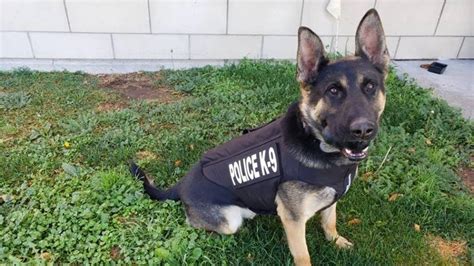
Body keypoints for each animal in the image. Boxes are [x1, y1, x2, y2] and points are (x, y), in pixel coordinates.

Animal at [130, 8, 388, 266]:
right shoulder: (293, 219)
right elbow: (303, 255)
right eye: (333, 91)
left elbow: (329, 220)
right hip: (228, 220)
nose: (363, 130)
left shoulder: (330, 201)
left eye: (370, 86)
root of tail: (182, 184)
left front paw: (335, 240)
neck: (317, 143)